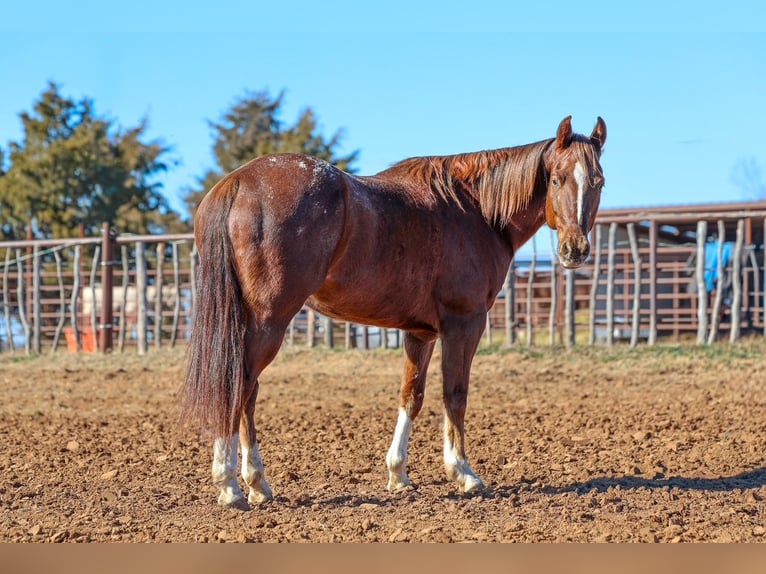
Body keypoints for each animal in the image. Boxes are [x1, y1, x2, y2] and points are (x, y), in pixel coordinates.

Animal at [181, 115, 607, 507]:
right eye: (557, 180)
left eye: (598, 181)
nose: (575, 250)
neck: (475, 210)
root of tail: (238, 183)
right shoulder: (464, 324)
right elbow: (455, 395)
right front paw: (463, 473)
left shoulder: (421, 332)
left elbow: (411, 396)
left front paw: (398, 474)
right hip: (269, 322)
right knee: (239, 387)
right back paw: (231, 485)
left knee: (246, 393)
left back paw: (257, 484)